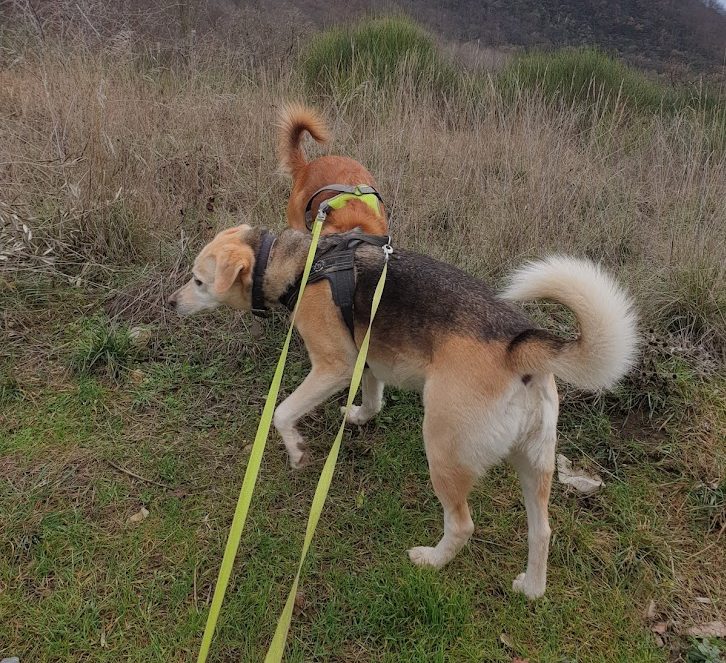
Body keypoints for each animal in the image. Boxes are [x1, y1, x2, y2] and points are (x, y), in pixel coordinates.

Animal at [168, 225, 638, 599]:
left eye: (198, 280)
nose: (170, 304)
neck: (303, 261)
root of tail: (517, 346)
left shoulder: (334, 366)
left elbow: (282, 413)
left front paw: (297, 450)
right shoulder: (367, 360)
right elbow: (374, 398)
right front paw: (359, 416)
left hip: (443, 452)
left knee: (462, 525)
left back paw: (432, 560)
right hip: (534, 464)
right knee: (541, 531)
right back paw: (532, 589)